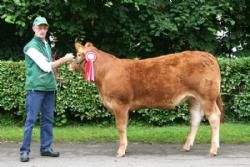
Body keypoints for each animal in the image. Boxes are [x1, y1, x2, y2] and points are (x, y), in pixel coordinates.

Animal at [69, 42, 224, 158]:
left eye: (78, 54)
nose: (70, 66)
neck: (105, 74)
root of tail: (207, 55)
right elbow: (124, 127)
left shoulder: (120, 104)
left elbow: (121, 127)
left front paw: (121, 151)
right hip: (194, 98)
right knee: (196, 119)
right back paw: (187, 146)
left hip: (207, 97)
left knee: (214, 117)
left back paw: (213, 150)